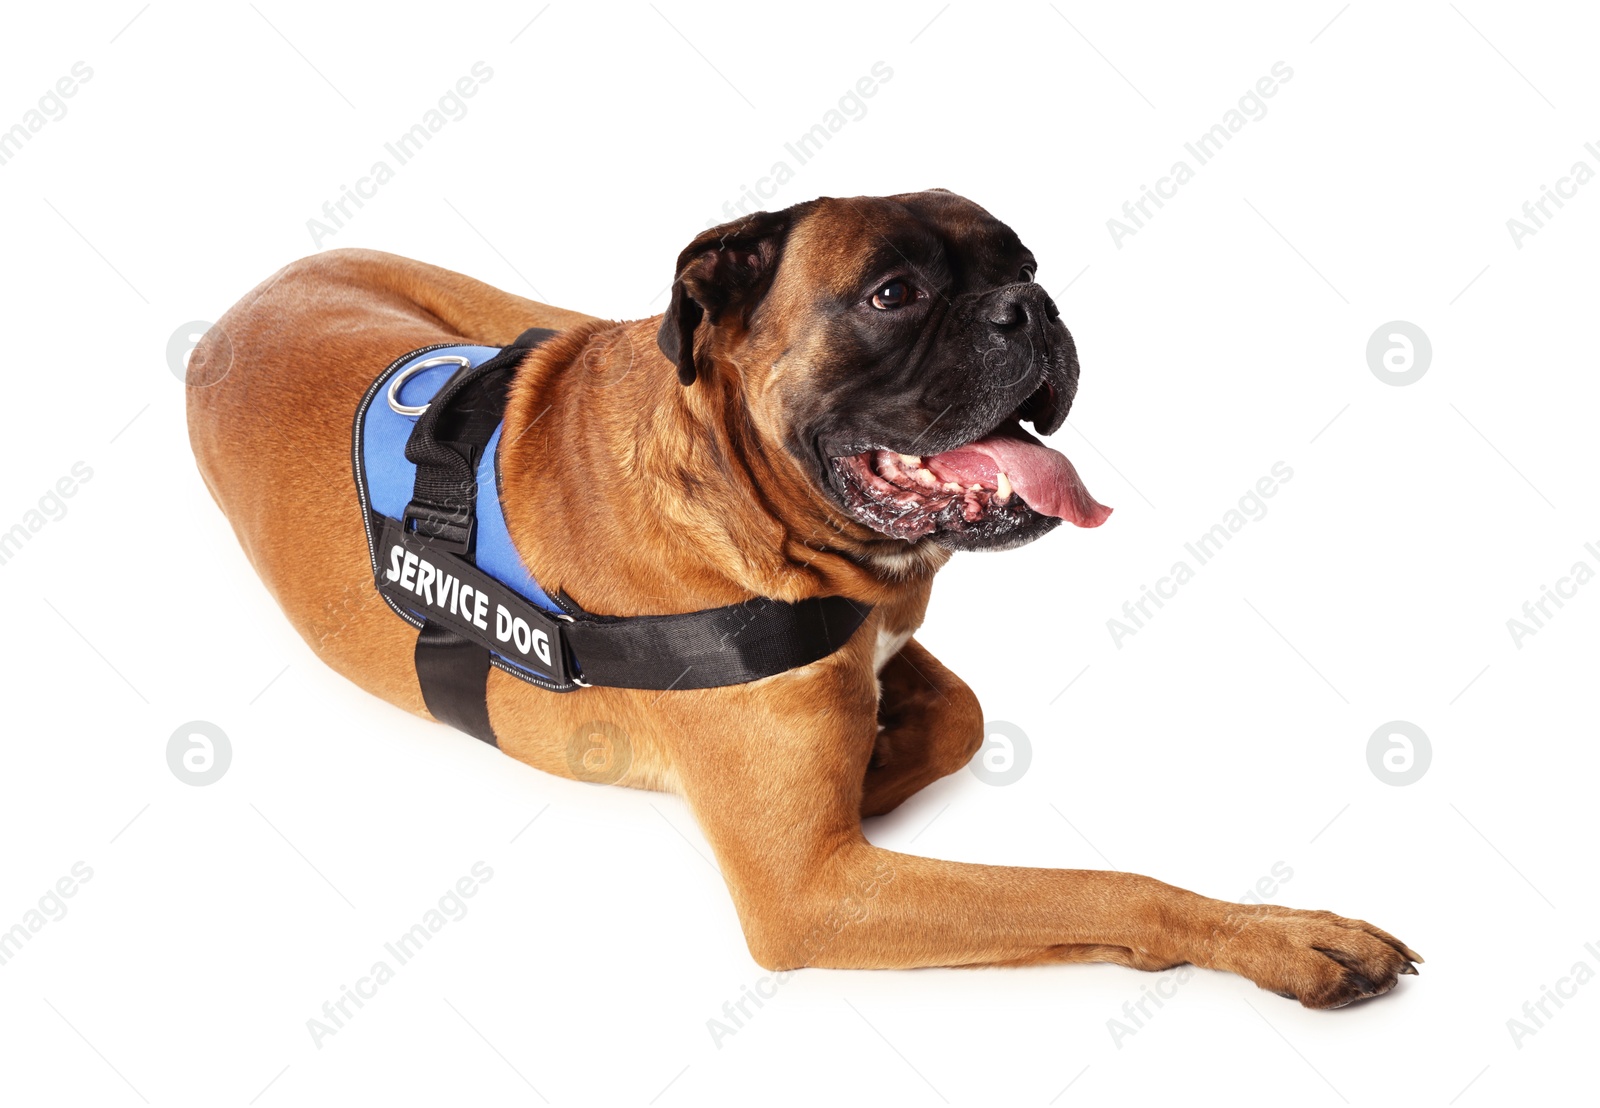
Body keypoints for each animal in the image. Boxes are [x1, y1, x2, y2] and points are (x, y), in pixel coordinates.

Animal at [190, 192, 1427, 1011]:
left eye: (1025, 261)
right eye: (893, 293)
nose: (1030, 306)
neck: (737, 483)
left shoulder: (882, 641)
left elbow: (960, 712)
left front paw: (880, 760)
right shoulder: (814, 889)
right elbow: (1097, 886)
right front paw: (1279, 935)